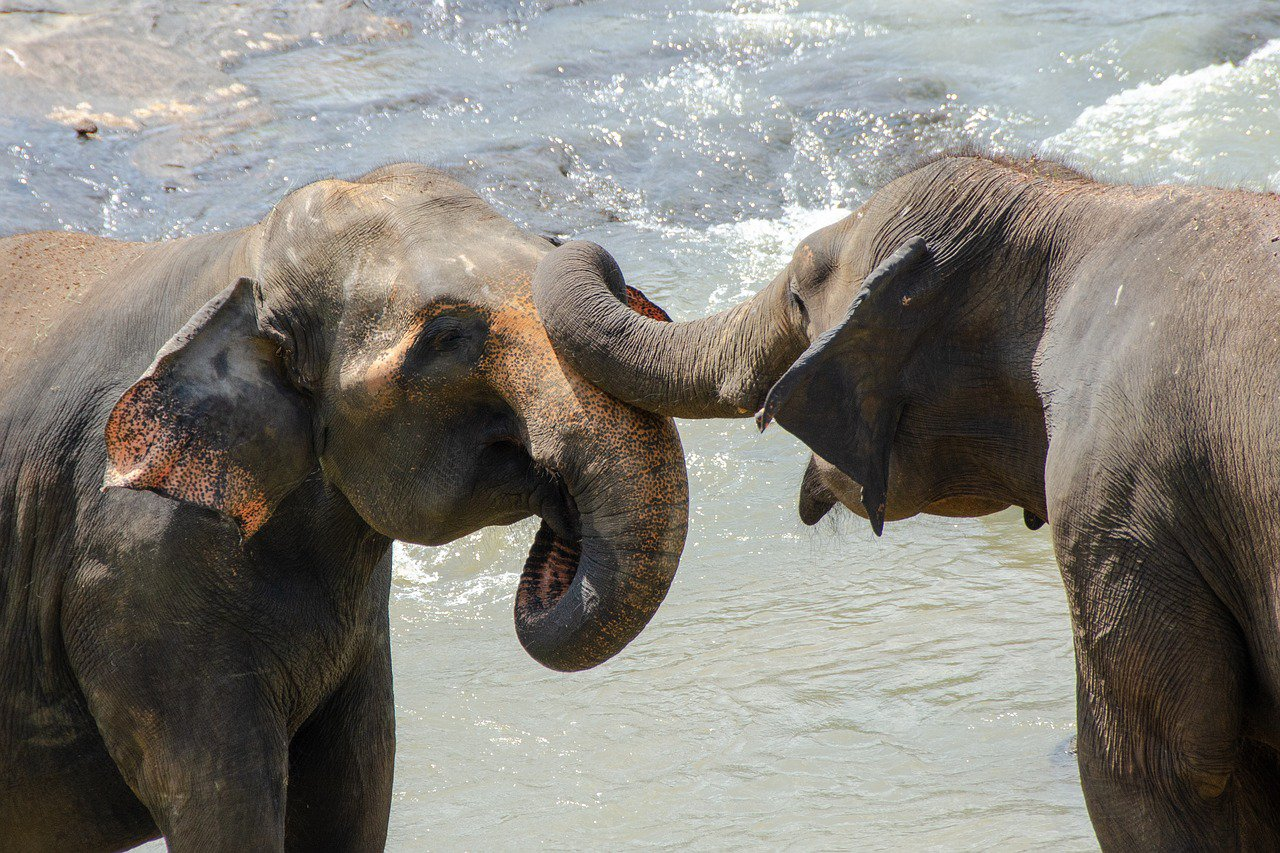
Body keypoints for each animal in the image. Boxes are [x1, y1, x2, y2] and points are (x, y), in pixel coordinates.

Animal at [0, 162, 691, 845]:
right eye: (446, 336)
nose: (579, 249)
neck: (244, 260)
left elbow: (356, 790)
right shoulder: (136, 576)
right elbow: (224, 805)